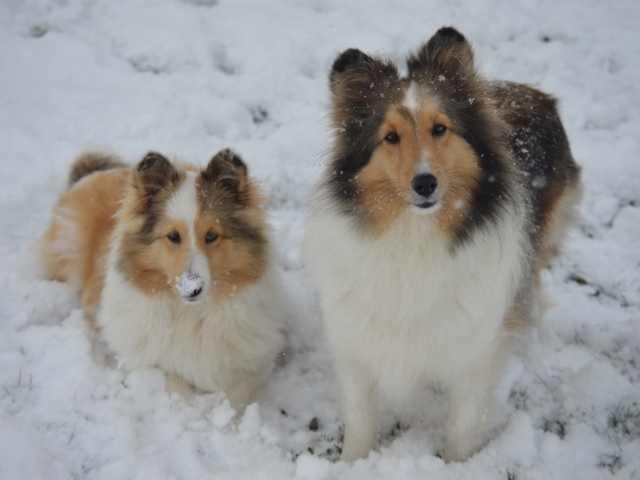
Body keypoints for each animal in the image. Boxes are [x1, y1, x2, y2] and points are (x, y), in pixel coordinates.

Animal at [40, 149, 288, 408]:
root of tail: (100, 173)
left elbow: (234, 396)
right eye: (173, 236)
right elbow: (178, 387)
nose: (192, 289)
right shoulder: (146, 364)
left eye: (211, 235)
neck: (192, 312)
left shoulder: (258, 363)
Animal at [304, 26, 580, 462]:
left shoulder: (475, 351)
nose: (425, 184)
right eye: (390, 137)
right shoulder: (353, 340)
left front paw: (456, 465)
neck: (415, 238)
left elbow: (461, 425)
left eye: (440, 129)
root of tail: (531, 91)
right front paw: (352, 463)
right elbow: (360, 417)